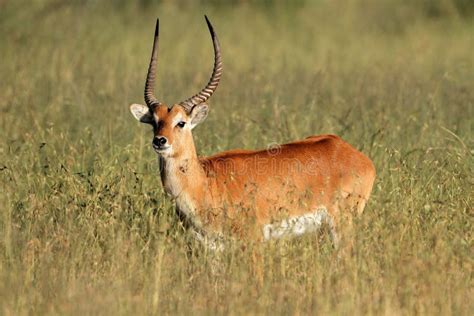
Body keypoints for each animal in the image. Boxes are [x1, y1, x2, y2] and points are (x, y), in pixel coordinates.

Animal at [129, 17, 374, 251]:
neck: (206, 183)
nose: (160, 141)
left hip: (341, 225)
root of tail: (354, 153)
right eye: (155, 121)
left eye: (181, 122)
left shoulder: (254, 240)